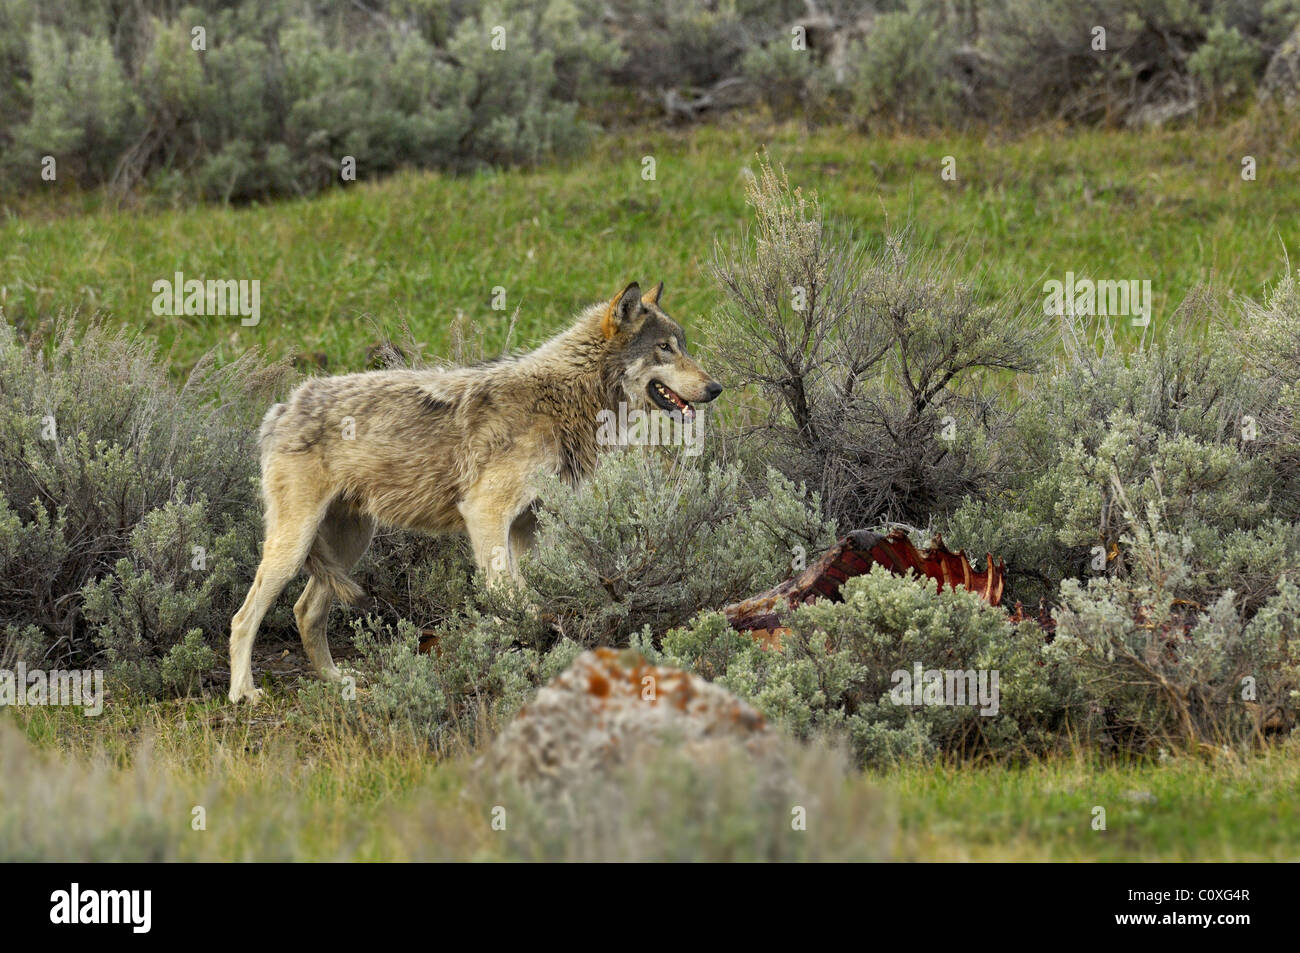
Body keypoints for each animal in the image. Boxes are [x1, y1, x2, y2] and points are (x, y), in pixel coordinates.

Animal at [231, 278, 722, 702]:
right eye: (664, 348)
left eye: (683, 345)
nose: (716, 388)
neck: (564, 399)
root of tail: (282, 406)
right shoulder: (486, 514)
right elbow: (511, 597)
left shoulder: (528, 526)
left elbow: (532, 596)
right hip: (295, 546)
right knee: (243, 618)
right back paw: (244, 694)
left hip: (349, 546)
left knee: (305, 611)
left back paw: (338, 682)